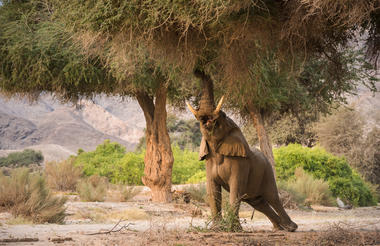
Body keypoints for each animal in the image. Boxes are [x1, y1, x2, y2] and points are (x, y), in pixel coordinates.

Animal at [186, 76, 296, 231]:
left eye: (222, 115)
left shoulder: (240, 163)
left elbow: (236, 189)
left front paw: (233, 229)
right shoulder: (209, 160)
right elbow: (213, 190)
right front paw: (217, 228)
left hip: (267, 171)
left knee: (272, 197)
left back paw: (291, 228)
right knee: (258, 202)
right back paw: (278, 228)